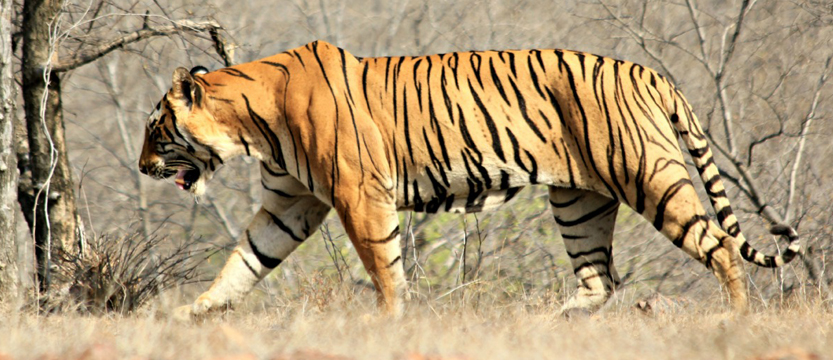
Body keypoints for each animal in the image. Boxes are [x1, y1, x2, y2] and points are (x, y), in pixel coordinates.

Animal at [138, 39, 800, 318]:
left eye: (156, 128)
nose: (142, 167)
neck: (252, 122)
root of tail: (650, 73)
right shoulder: (290, 203)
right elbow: (245, 260)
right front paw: (194, 313)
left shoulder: (358, 195)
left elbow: (384, 268)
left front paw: (392, 321)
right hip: (579, 200)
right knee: (599, 279)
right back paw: (549, 324)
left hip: (649, 177)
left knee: (719, 246)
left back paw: (735, 319)